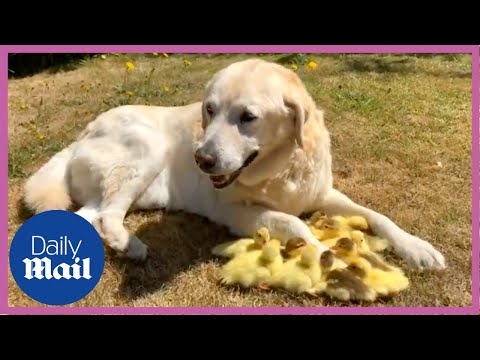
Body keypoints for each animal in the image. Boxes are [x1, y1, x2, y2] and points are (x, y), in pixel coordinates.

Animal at [23, 57, 446, 270]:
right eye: (209, 110)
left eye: (248, 117)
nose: (202, 158)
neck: (281, 169)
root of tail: (82, 133)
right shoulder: (232, 211)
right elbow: (294, 223)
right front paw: (332, 260)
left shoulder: (322, 193)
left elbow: (379, 216)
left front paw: (417, 248)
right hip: (147, 147)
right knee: (110, 215)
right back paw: (133, 246)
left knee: (89, 216)